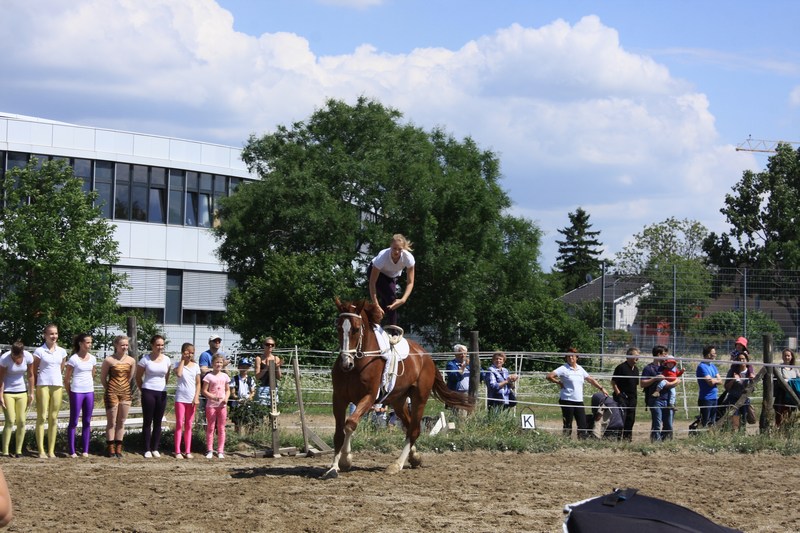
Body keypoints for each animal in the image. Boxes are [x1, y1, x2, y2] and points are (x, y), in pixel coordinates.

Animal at [324, 298, 474, 477]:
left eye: (356, 329)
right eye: (339, 328)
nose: (346, 363)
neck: (358, 364)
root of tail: (427, 357)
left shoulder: (369, 397)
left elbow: (350, 423)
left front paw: (346, 460)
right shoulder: (339, 398)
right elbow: (339, 433)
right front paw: (333, 467)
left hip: (419, 398)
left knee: (414, 429)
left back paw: (397, 464)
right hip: (398, 401)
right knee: (409, 426)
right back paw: (415, 457)